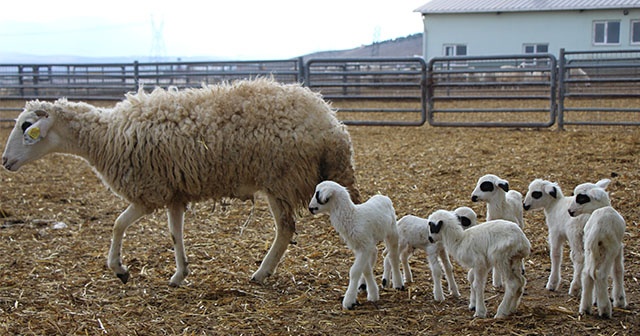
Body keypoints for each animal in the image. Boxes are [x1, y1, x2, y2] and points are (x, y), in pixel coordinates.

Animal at [0, 78, 360, 286]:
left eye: (26, 125)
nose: (5, 161)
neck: (107, 137)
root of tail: (332, 124)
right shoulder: (174, 193)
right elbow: (175, 234)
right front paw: (179, 273)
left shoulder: (149, 193)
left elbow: (117, 225)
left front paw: (119, 269)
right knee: (291, 228)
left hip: (280, 177)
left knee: (286, 229)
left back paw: (261, 273)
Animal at [308, 181, 402, 310]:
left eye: (318, 196)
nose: (310, 208)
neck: (353, 216)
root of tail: (383, 196)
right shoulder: (359, 246)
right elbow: (365, 269)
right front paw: (372, 293)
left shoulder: (364, 247)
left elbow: (355, 271)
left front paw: (349, 301)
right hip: (371, 240)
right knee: (375, 253)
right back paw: (363, 285)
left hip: (391, 232)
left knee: (393, 256)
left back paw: (398, 284)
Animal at [568, 184, 624, 318]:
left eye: (581, 198)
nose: (569, 211)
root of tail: (598, 227)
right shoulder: (618, 248)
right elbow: (618, 270)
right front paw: (620, 300)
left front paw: (595, 299)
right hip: (610, 248)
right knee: (600, 274)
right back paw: (605, 309)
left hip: (589, 246)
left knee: (587, 273)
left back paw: (585, 308)